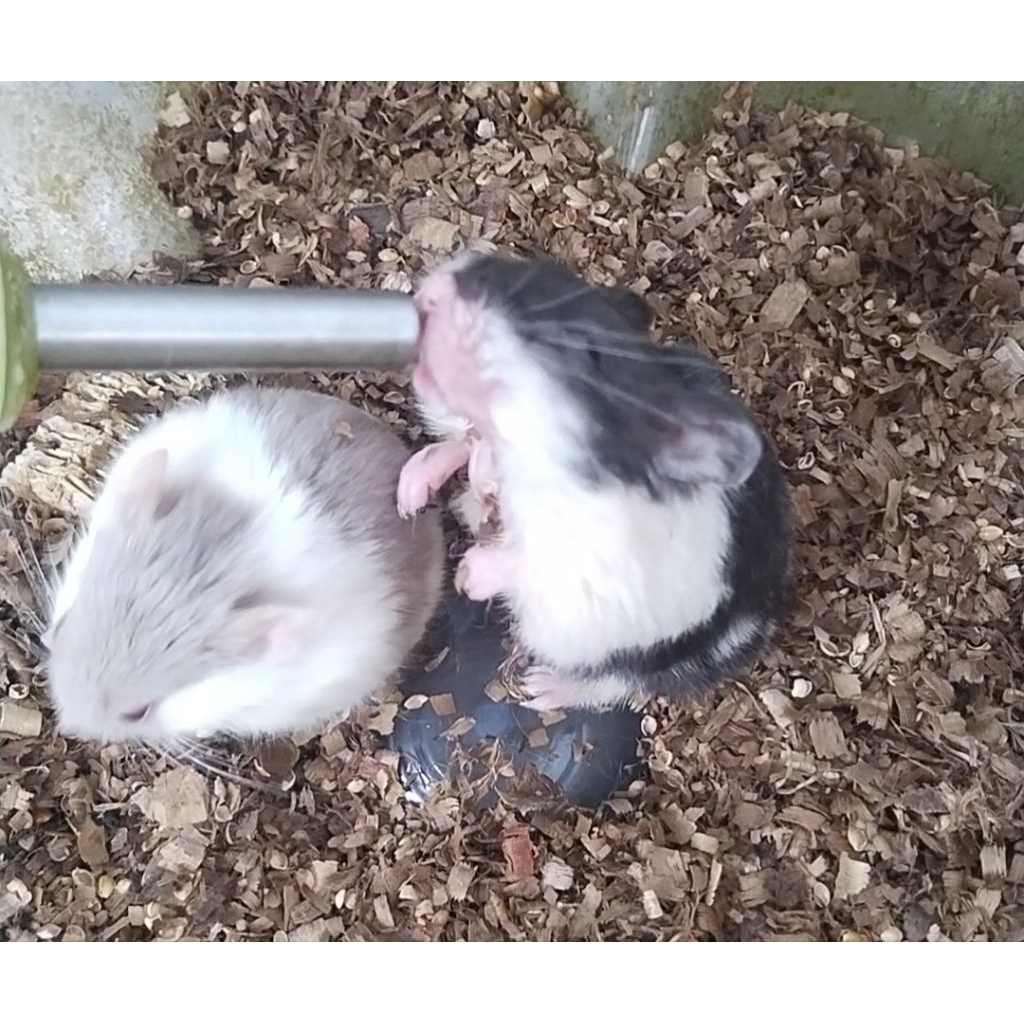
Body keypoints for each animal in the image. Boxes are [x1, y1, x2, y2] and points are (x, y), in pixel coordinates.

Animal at [396, 251, 792, 712]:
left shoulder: (588, 582)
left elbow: (528, 562)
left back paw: (539, 688)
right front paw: (408, 496)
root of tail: (769, 614)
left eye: (578, 347)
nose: (435, 296)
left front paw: (467, 577)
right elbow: (462, 442)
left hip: (658, 656)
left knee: (619, 683)